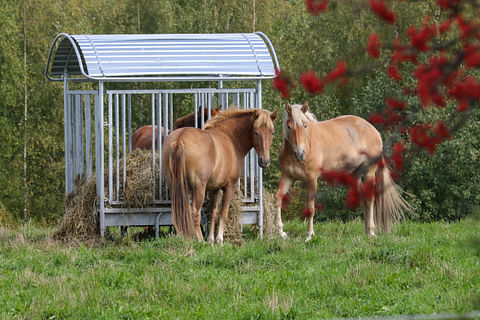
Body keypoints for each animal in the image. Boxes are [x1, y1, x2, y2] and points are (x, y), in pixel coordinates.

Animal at [163, 108, 278, 245]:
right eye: (255, 132)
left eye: (272, 133)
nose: (264, 161)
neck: (231, 138)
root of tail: (179, 139)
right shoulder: (230, 187)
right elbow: (224, 212)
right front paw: (219, 240)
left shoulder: (214, 189)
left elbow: (213, 212)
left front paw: (211, 240)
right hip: (198, 188)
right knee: (194, 212)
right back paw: (199, 240)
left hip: (175, 186)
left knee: (178, 211)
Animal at [276, 102, 410, 240]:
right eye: (289, 126)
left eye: (305, 125)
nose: (300, 154)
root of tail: (375, 132)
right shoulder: (287, 177)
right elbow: (278, 199)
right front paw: (281, 232)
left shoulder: (312, 179)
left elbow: (310, 208)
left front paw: (309, 236)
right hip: (354, 176)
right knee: (363, 200)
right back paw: (367, 231)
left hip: (369, 172)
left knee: (370, 199)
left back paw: (372, 232)